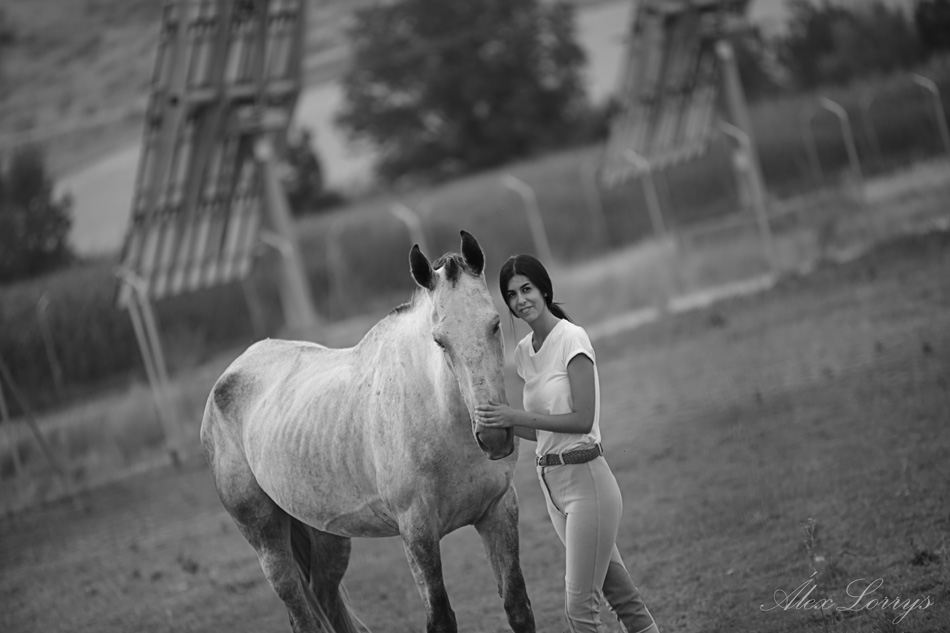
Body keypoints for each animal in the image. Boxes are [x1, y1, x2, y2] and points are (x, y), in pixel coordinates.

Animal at [200, 231, 535, 633]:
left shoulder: (498, 512)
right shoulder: (417, 534)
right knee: (300, 612)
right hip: (267, 541)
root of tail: (225, 379)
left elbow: (517, 606)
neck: (441, 419)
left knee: (326, 596)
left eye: (495, 324)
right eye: (440, 340)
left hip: (327, 535)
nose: (494, 437)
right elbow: (440, 617)